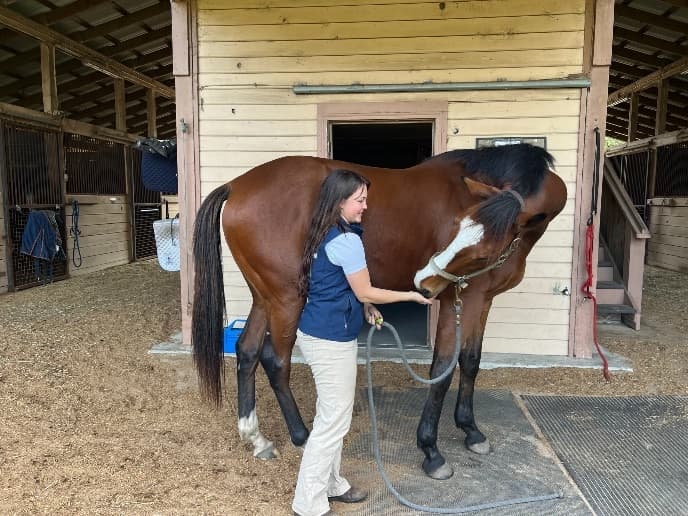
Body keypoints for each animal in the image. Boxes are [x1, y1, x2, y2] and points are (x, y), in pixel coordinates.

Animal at [191, 143, 567, 480]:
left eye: (484, 251)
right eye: (458, 228)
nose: (423, 281)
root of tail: (237, 185)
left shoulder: (483, 300)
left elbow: (471, 362)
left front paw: (471, 431)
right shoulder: (459, 300)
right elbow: (443, 369)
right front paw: (431, 450)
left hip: (264, 297)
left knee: (247, 352)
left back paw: (256, 437)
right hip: (287, 299)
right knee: (275, 360)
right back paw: (301, 435)